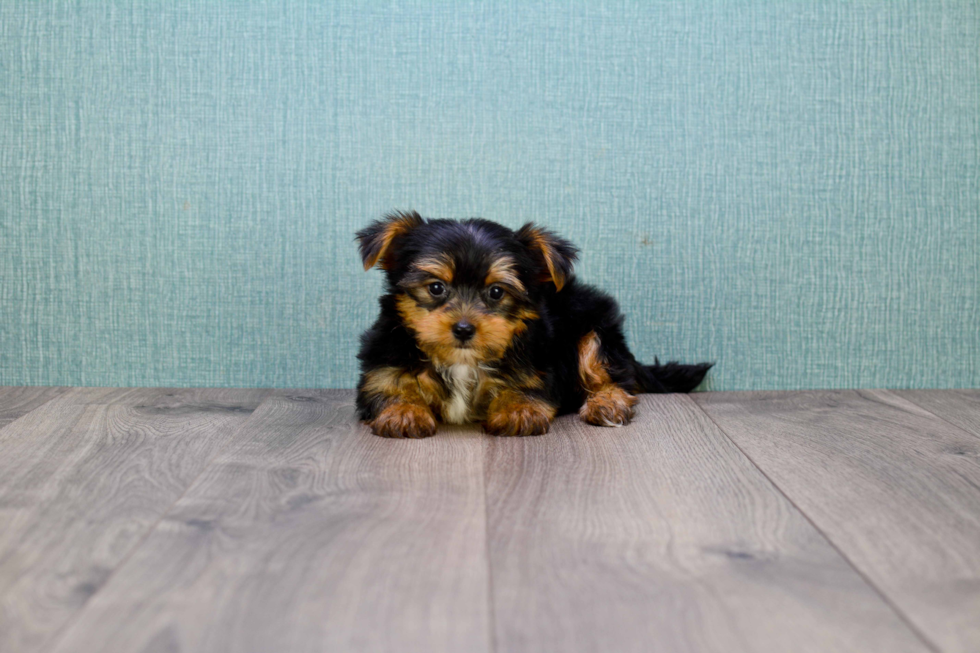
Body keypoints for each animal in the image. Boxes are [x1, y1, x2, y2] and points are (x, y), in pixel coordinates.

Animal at [356, 211, 708, 438]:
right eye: (436, 288)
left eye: (496, 292)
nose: (464, 329)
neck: (462, 361)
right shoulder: (382, 363)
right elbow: (387, 387)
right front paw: (404, 411)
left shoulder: (540, 365)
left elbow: (527, 385)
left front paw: (517, 410)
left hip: (594, 328)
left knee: (612, 376)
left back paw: (606, 404)